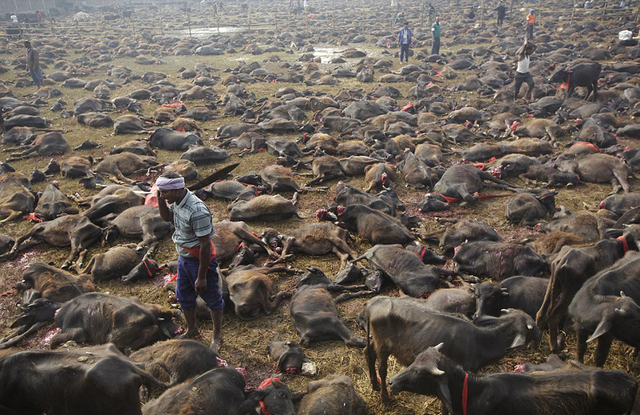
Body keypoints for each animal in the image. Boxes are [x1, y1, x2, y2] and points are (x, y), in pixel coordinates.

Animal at [49, 290, 180, 352]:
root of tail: (148, 314)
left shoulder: (74, 330)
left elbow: (54, 340)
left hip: (113, 337)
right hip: (154, 307)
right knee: (164, 316)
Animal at [364, 298, 540, 408]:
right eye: (532, 326)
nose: (540, 335)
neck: (480, 341)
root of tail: (373, 303)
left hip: (375, 341)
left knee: (368, 353)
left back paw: (374, 384)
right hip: (383, 346)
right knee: (382, 369)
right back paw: (385, 400)